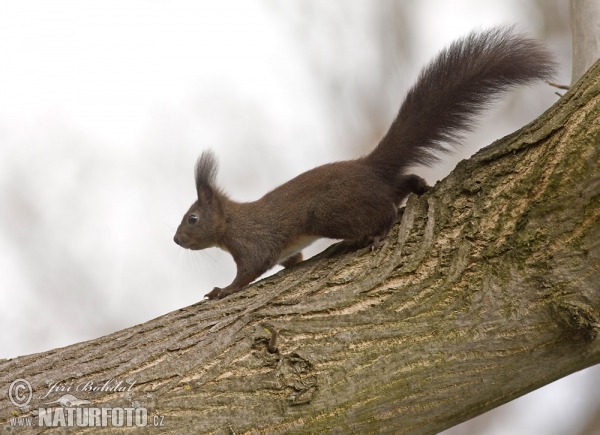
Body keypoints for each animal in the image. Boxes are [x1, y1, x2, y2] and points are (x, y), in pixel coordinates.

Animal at [175, 27, 556, 300]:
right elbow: (291, 259)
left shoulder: (253, 243)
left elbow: (249, 271)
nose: (177, 240)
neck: (230, 223)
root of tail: (369, 167)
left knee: (386, 211)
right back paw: (420, 186)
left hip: (331, 212)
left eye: (192, 218)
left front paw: (221, 291)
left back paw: (379, 232)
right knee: (400, 185)